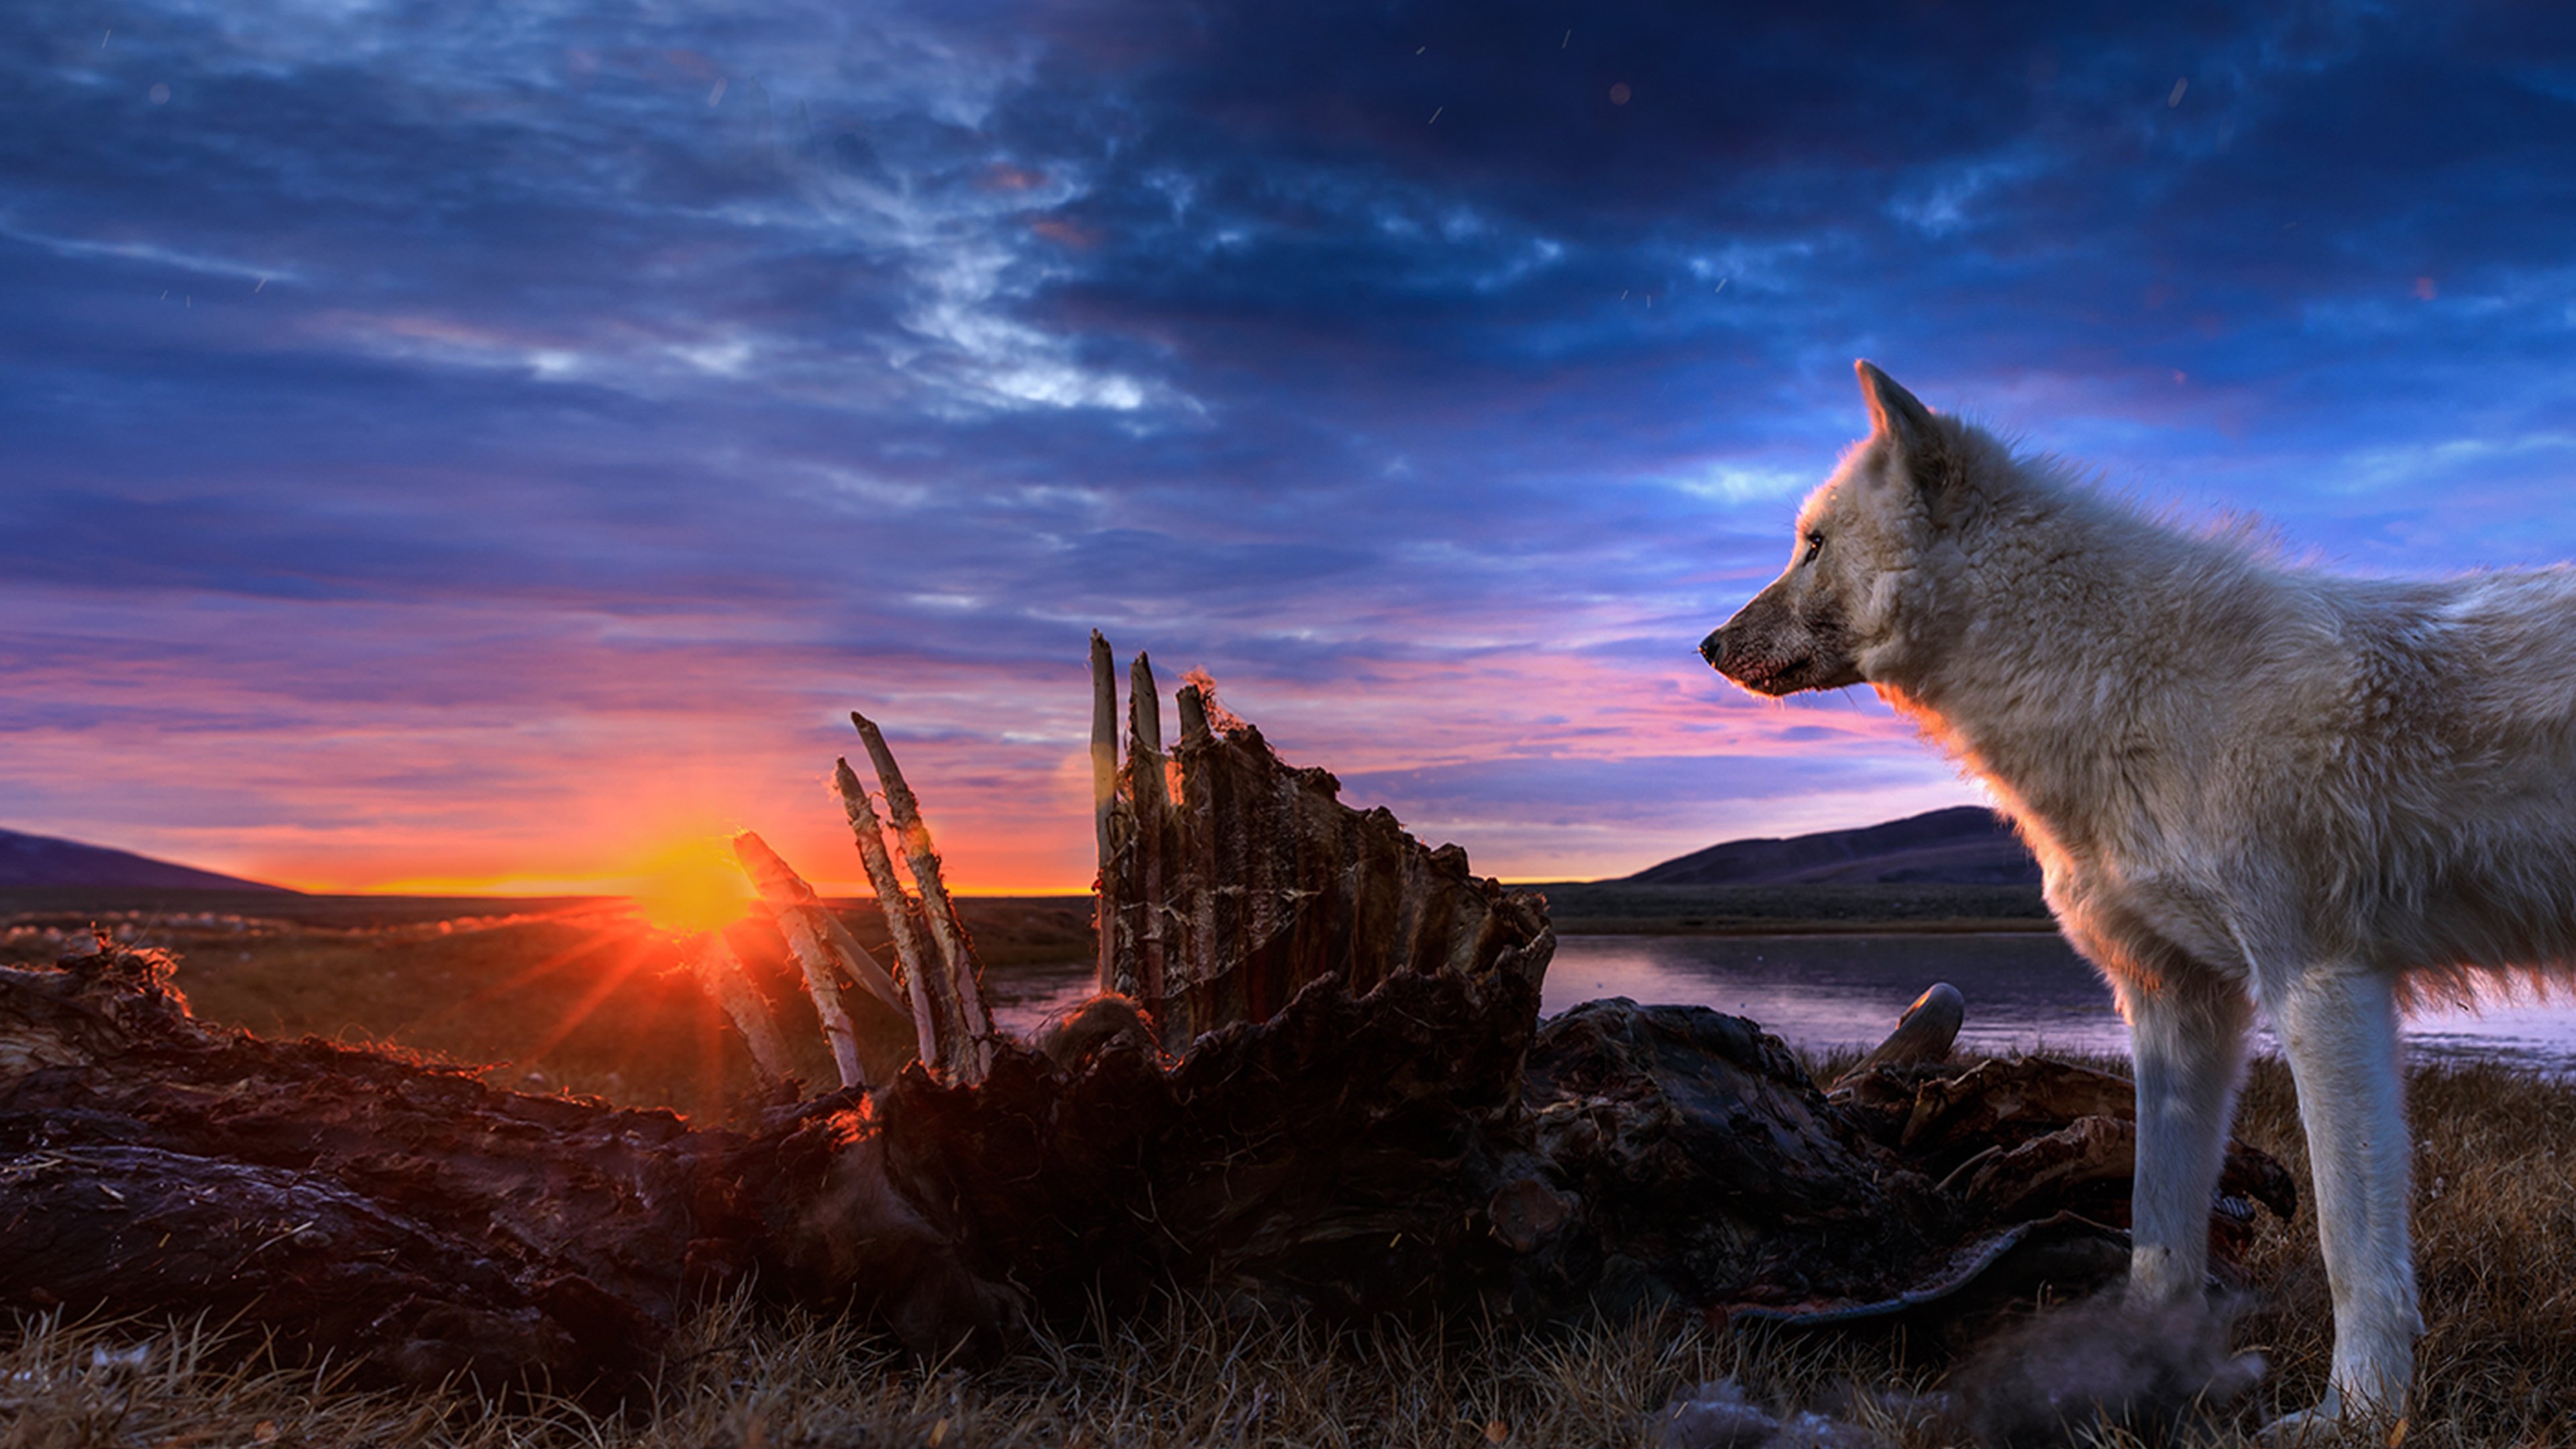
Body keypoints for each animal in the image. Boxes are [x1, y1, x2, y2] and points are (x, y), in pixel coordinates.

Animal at [1704, 361, 2576, 1426]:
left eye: (1813, 544)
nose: (1707, 645)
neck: (2114, 683)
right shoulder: (2174, 1003)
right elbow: (2157, 1225)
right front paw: (2134, 1371)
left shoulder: (2321, 987)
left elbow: (2351, 1250)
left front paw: (2357, 1418)